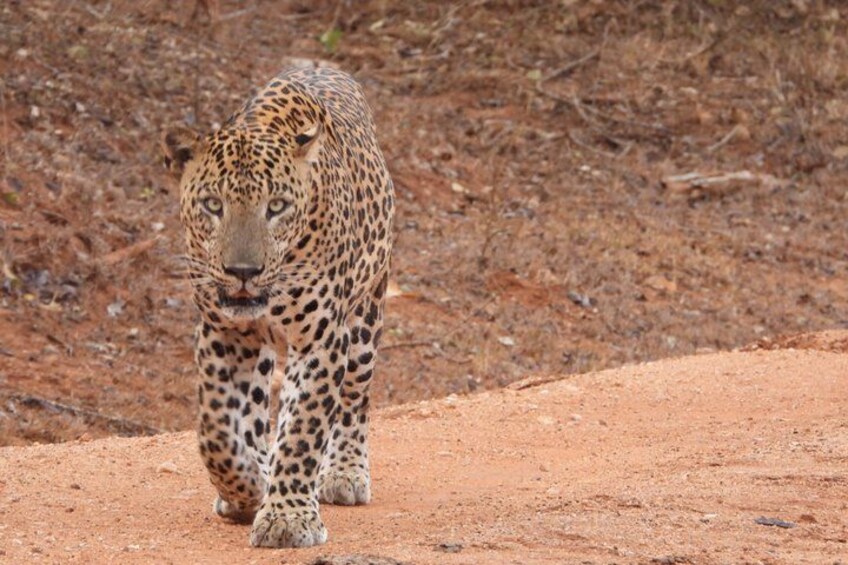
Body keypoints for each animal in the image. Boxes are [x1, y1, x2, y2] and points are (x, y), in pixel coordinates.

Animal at [161, 66, 394, 548]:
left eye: (277, 207)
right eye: (213, 205)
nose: (243, 271)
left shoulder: (322, 340)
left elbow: (303, 429)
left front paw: (288, 517)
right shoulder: (221, 332)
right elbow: (215, 427)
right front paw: (246, 487)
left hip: (367, 315)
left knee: (354, 398)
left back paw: (344, 473)